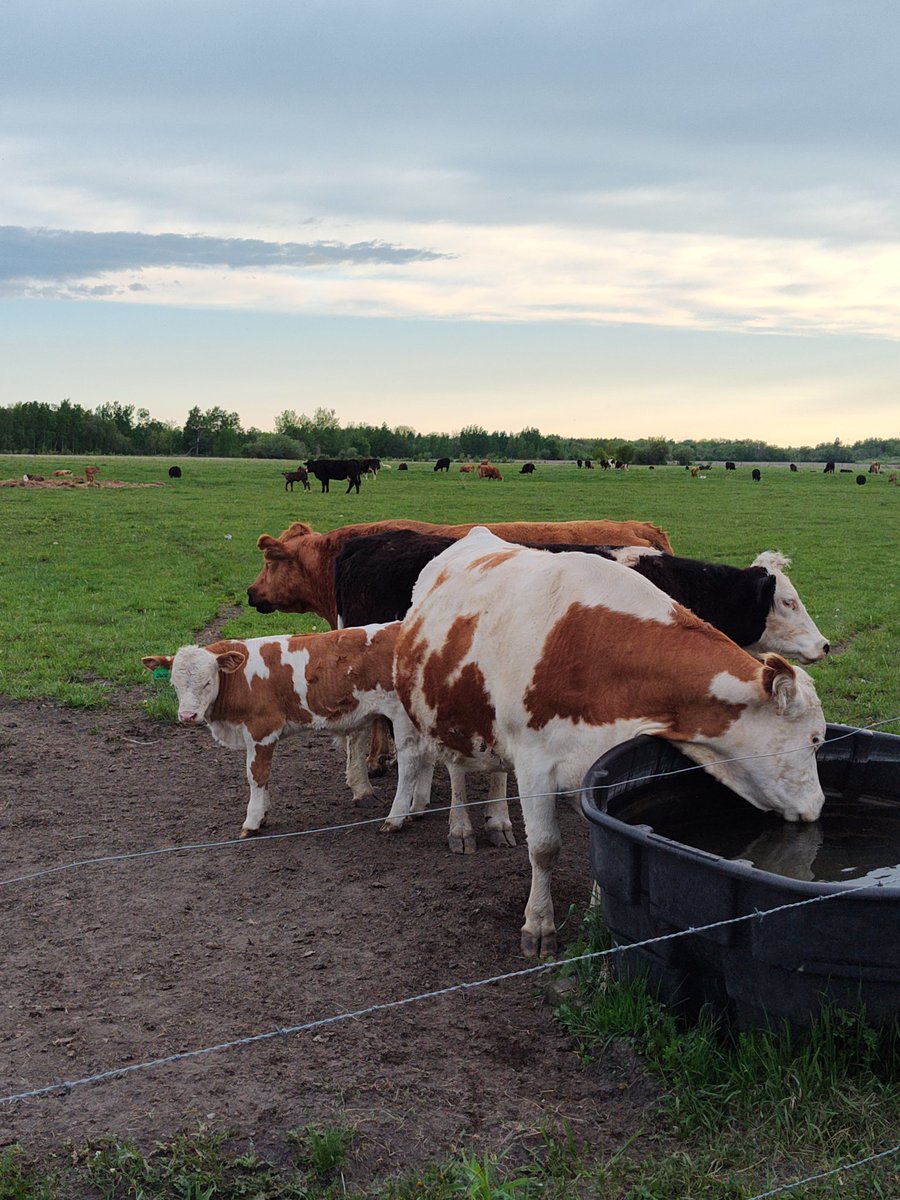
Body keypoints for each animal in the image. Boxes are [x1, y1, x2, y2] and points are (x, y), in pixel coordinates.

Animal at [141, 624, 429, 836]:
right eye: (174, 683)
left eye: (207, 682)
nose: (187, 716)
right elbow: (262, 776)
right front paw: (263, 813)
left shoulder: (262, 729)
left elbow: (257, 775)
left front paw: (252, 821)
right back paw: (417, 807)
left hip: (402, 716)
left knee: (410, 761)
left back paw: (396, 817)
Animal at [391, 527, 827, 956]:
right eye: (815, 738)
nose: (818, 806)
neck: (602, 655)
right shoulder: (535, 766)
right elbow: (544, 848)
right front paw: (539, 925)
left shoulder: (601, 766)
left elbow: (604, 841)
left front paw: (597, 913)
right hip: (446, 710)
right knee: (457, 771)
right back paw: (461, 829)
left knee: (495, 770)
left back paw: (498, 821)